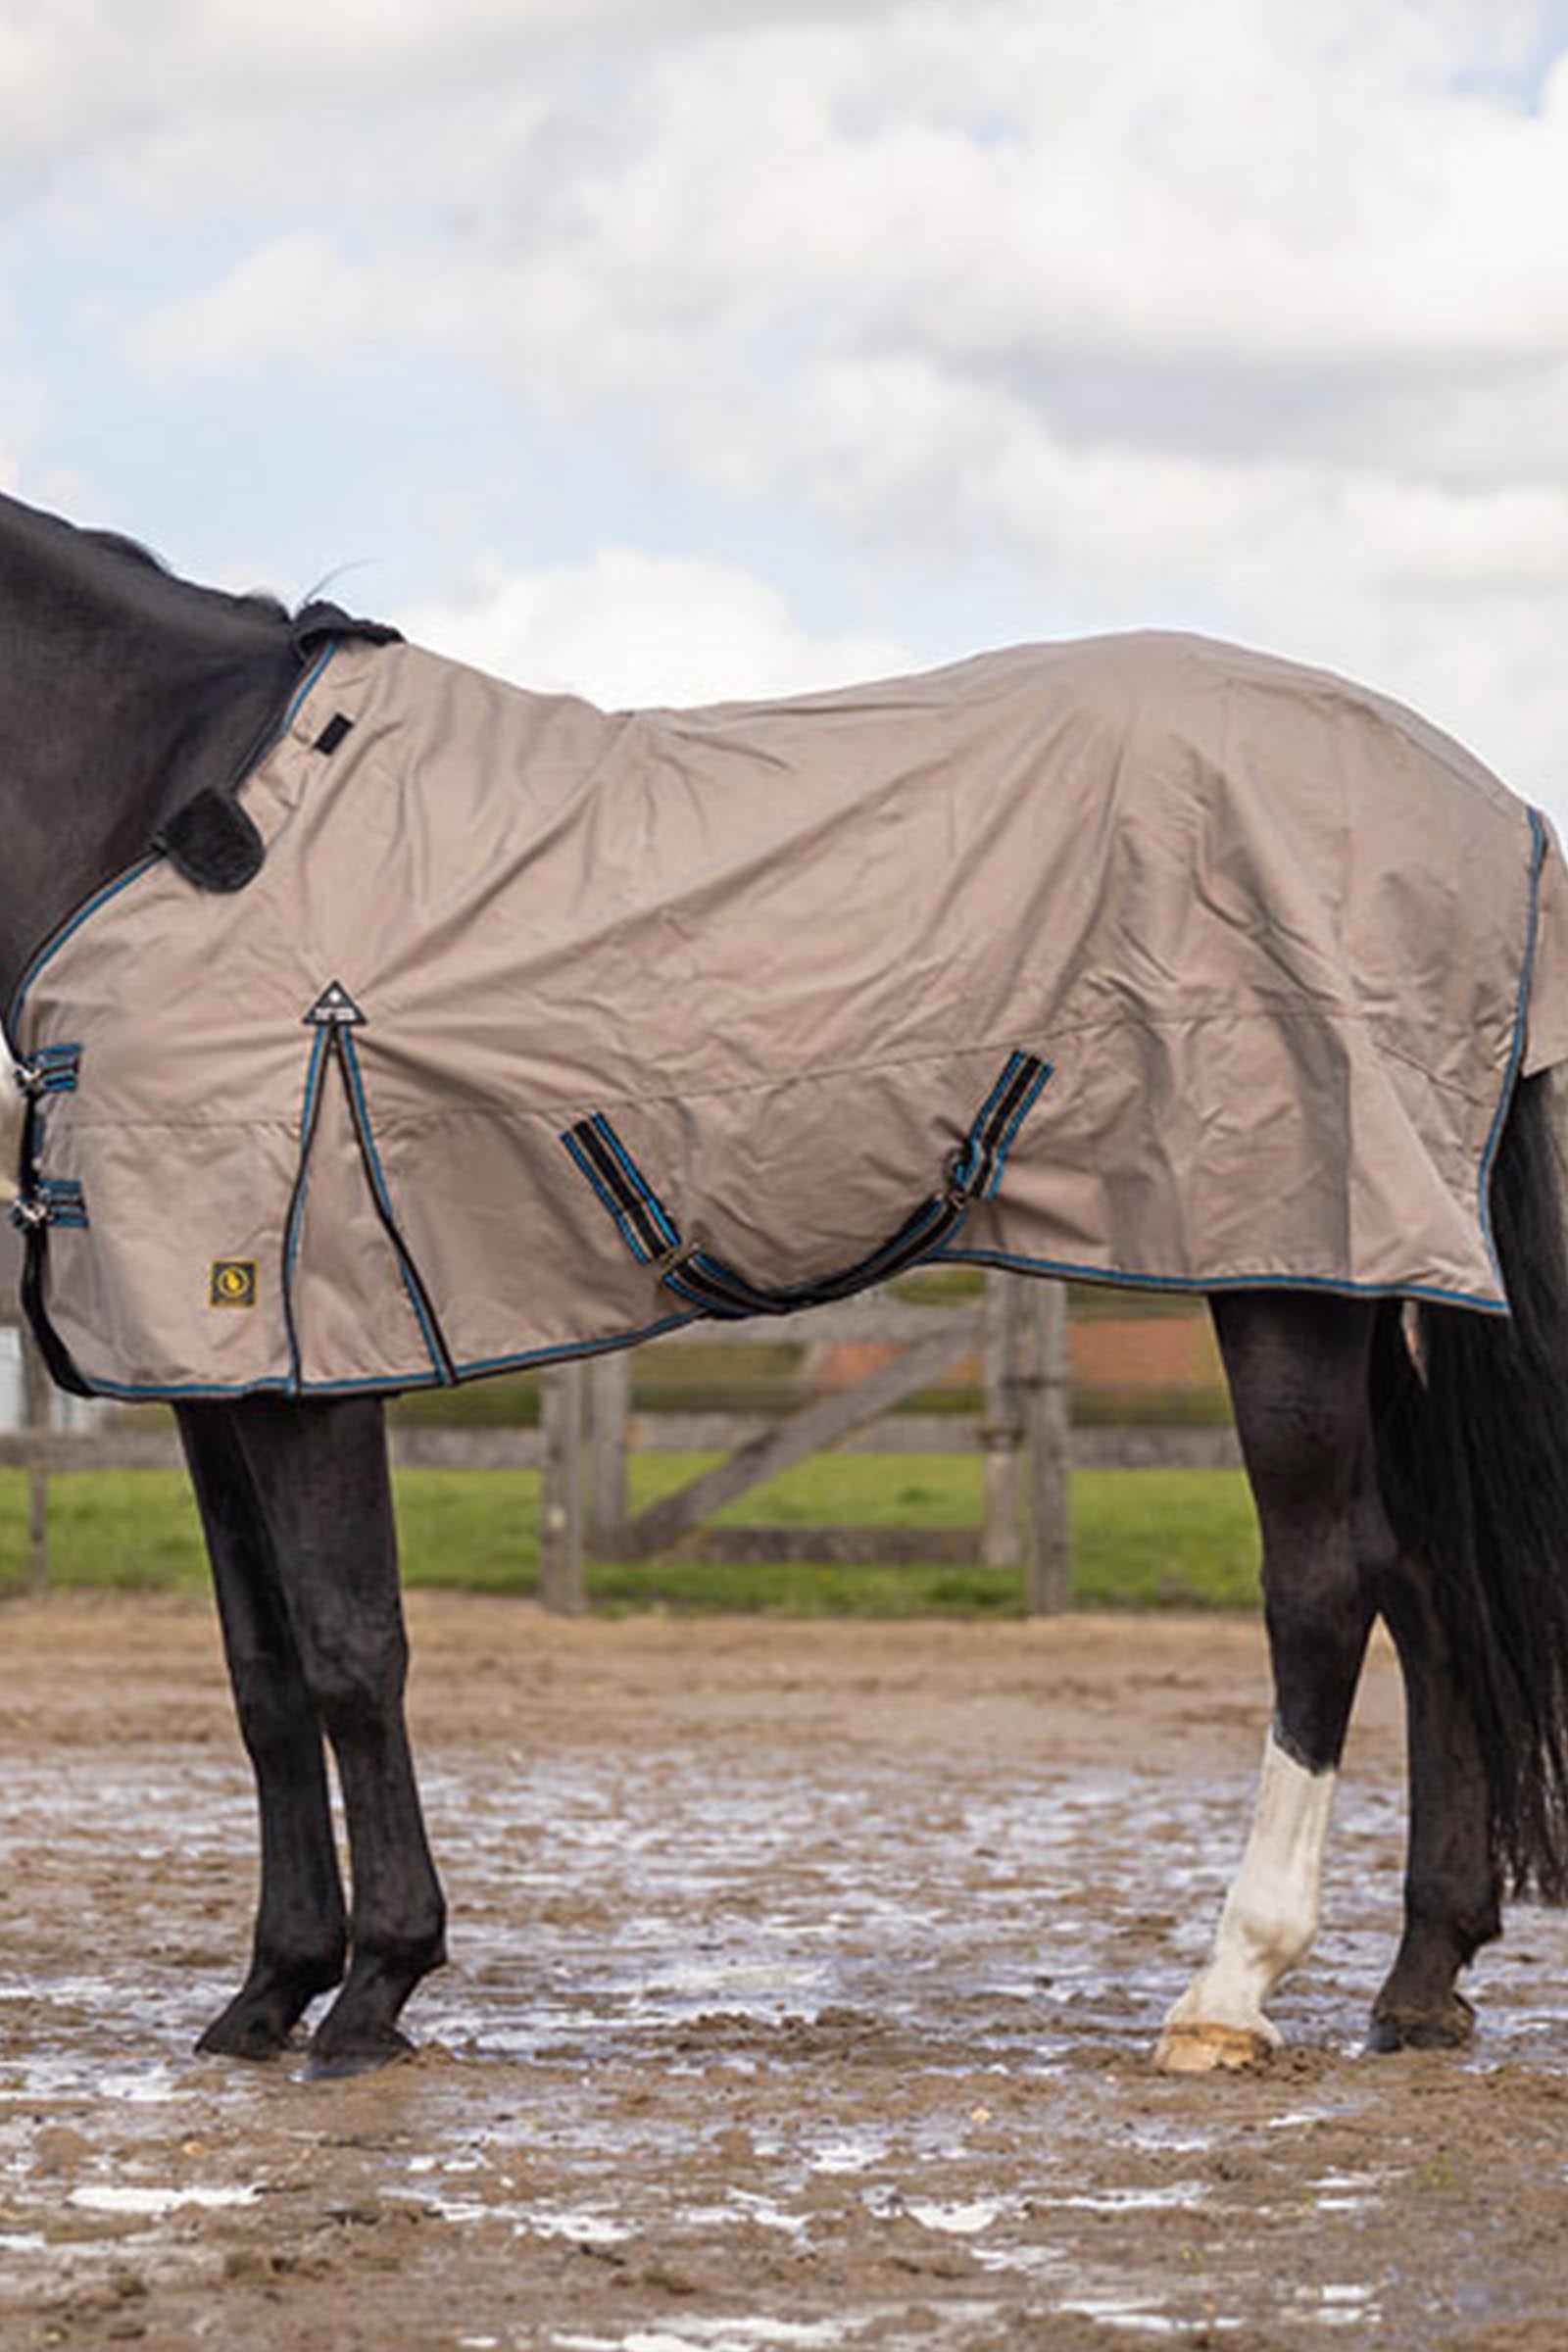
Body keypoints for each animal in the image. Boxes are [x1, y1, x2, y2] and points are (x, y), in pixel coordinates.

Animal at [4, 484, 1568, 2081]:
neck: (176, 813)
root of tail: (1486, 805)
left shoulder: (314, 1356)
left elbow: (348, 1652)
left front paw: (377, 1987)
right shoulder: (214, 1366)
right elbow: (260, 1677)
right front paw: (269, 1990)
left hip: (1287, 1278)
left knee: (1326, 1581)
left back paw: (1230, 1990)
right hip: (1347, 1264)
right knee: (1430, 1580)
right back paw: (1420, 1980)